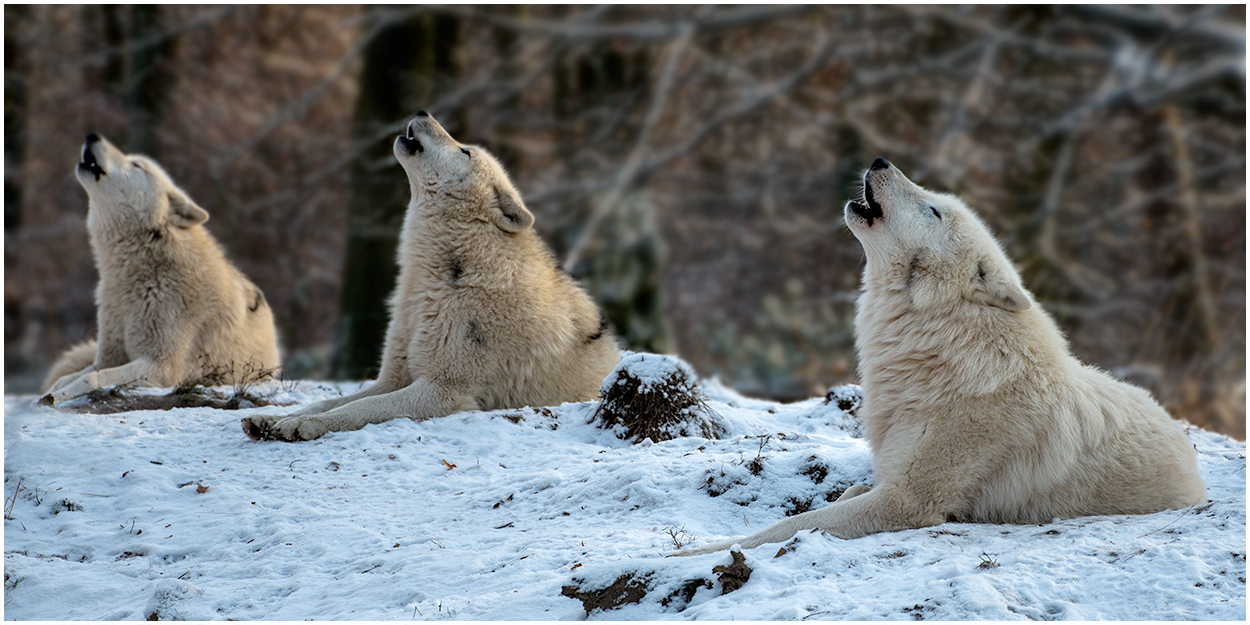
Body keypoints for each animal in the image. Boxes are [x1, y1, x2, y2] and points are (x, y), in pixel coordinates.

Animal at [42, 134, 283, 402]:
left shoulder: (161, 367)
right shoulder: (108, 357)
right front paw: (49, 394)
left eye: (137, 165)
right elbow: (70, 377)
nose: (92, 135)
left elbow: (93, 378)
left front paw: (57, 397)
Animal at [240, 113, 620, 445]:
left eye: (464, 151)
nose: (423, 111)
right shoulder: (394, 376)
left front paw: (303, 425)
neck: (429, 282)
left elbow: (359, 408)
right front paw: (272, 418)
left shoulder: (443, 389)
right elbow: (334, 400)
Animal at [680, 157, 1205, 557]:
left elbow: (786, 527)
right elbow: (836, 499)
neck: (942, 348)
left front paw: (692, 553)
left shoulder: (909, 501)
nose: (879, 160)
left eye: (931, 210)